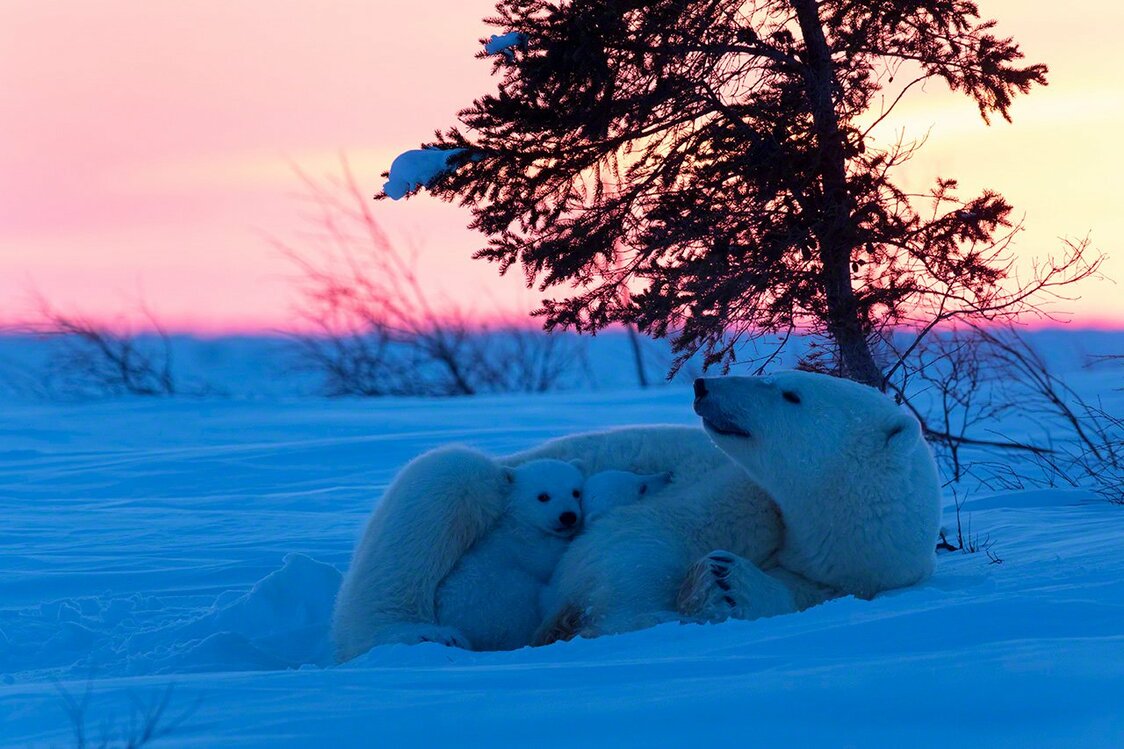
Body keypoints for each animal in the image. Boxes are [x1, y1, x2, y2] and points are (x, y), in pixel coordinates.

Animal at [433, 458, 584, 652]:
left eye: (576, 492)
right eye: (543, 496)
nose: (568, 516)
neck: (519, 523)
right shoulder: (525, 547)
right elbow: (546, 562)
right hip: (504, 603)